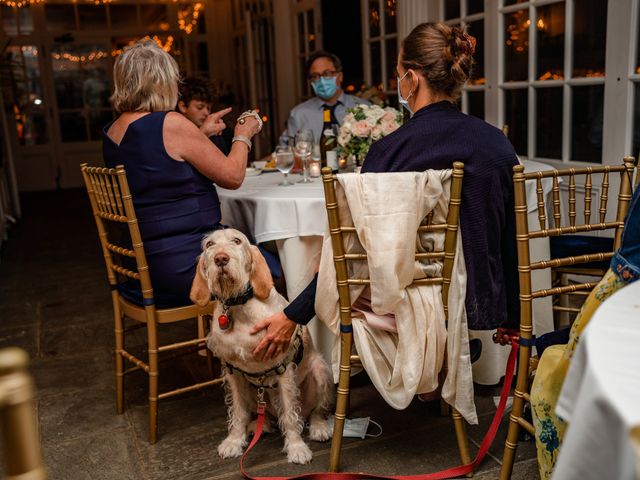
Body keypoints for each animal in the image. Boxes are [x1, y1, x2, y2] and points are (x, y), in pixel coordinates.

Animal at [190, 229, 332, 464]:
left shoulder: (283, 370)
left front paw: (296, 447)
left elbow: (291, 415)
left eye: (237, 241)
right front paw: (234, 441)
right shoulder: (232, 372)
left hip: (321, 372)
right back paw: (260, 425)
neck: (239, 306)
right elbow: (238, 412)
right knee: (263, 414)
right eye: (210, 244)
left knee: (313, 411)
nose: (221, 259)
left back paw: (319, 427)